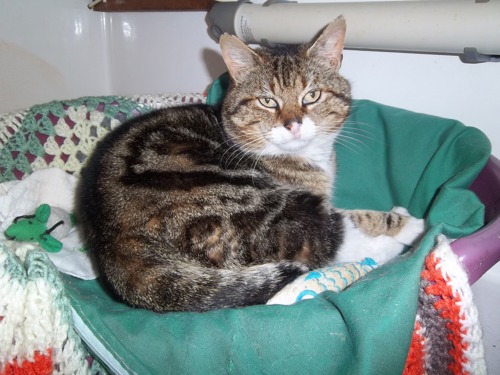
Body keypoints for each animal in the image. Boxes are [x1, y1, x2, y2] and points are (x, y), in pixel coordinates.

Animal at [76, 16, 424, 312]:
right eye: (267, 101)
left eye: (311, 96)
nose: (293, 124)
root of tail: (112, 244)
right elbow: (353, 218)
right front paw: (407, 222)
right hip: (249, 203)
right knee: (322, 242)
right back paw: (399, 242)